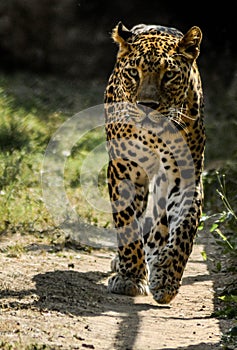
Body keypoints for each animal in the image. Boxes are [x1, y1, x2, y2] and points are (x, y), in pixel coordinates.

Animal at [103, 21, 206, 304]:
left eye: (168, 75)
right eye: (133, 73)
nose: (147, 105)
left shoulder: (187, 178)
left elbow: (185, 229)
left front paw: (166, 277)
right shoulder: (123, 170)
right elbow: (127, 224)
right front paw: (130, 277)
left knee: (160, 223)